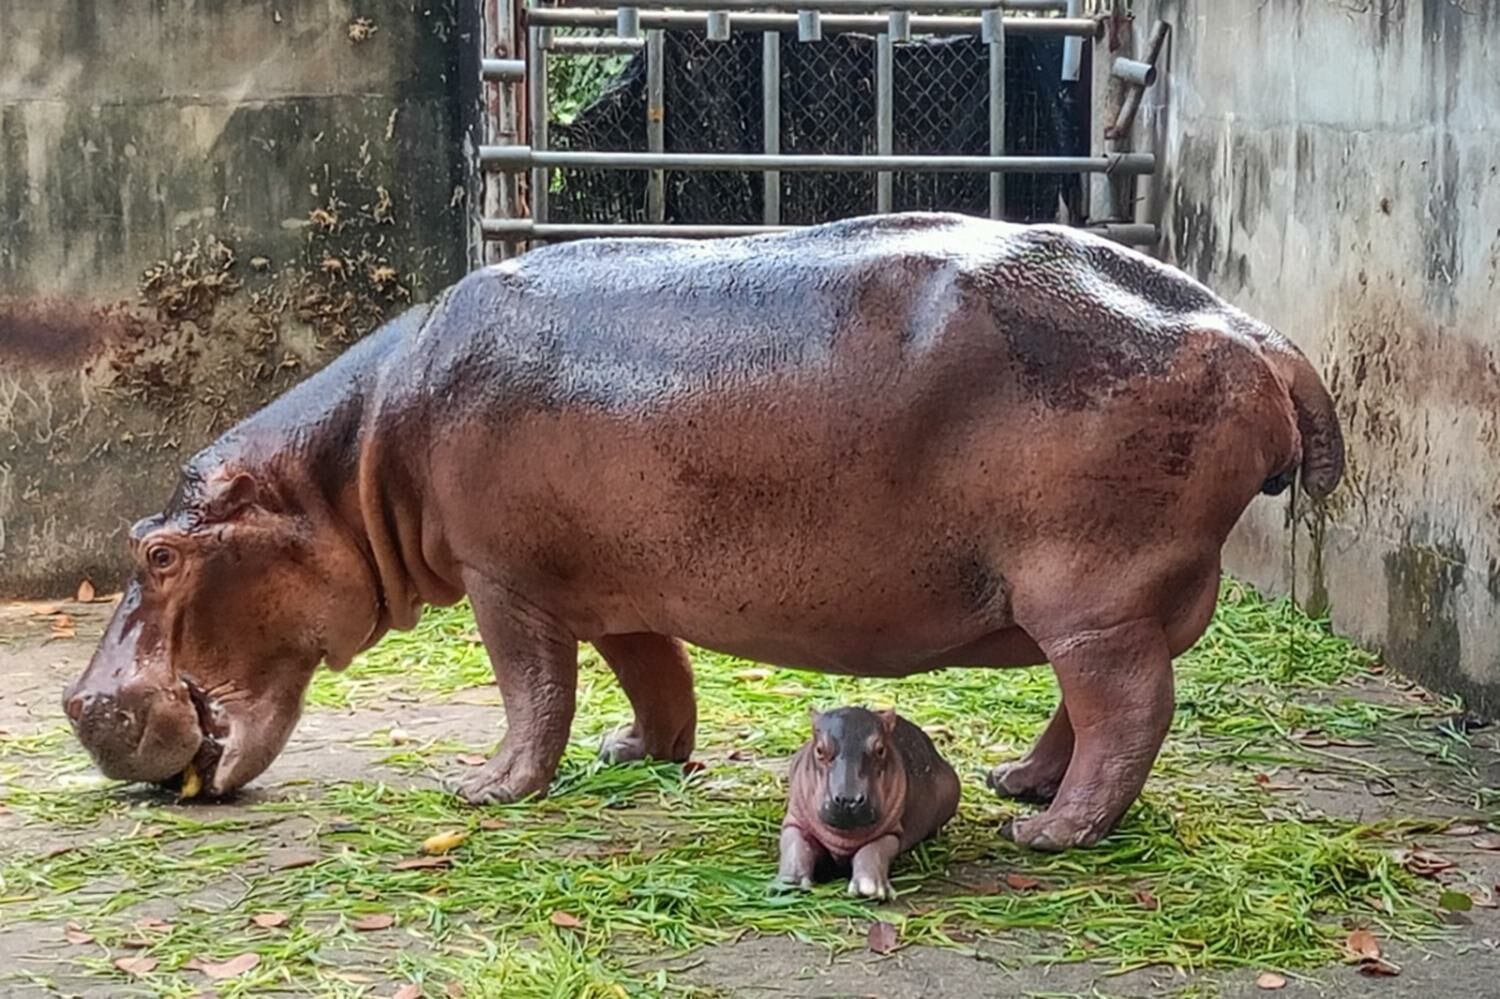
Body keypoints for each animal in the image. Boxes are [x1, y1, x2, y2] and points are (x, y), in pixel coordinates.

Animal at [61, 211, 1350, 846]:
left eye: (156, 551)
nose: (78, 704)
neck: (350, 464)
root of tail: (1261, 332)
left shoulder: (502, 581)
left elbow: (532, 690)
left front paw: (488, 794)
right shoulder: (615, 585)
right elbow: (652, 675)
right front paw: (639, 758)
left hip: (1091, 593)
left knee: (1127, 709)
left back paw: (1054, 837)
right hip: (1092, 599)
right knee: (1087, 706)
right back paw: (1017, 786)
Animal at [780, 705, 954, 900]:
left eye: (880, 749)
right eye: (819, 750)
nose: (848, 799)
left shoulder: (890, 832)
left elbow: (873, 850)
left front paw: (868, 888)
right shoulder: (796, 819)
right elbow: (796, 845)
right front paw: (789, 883)